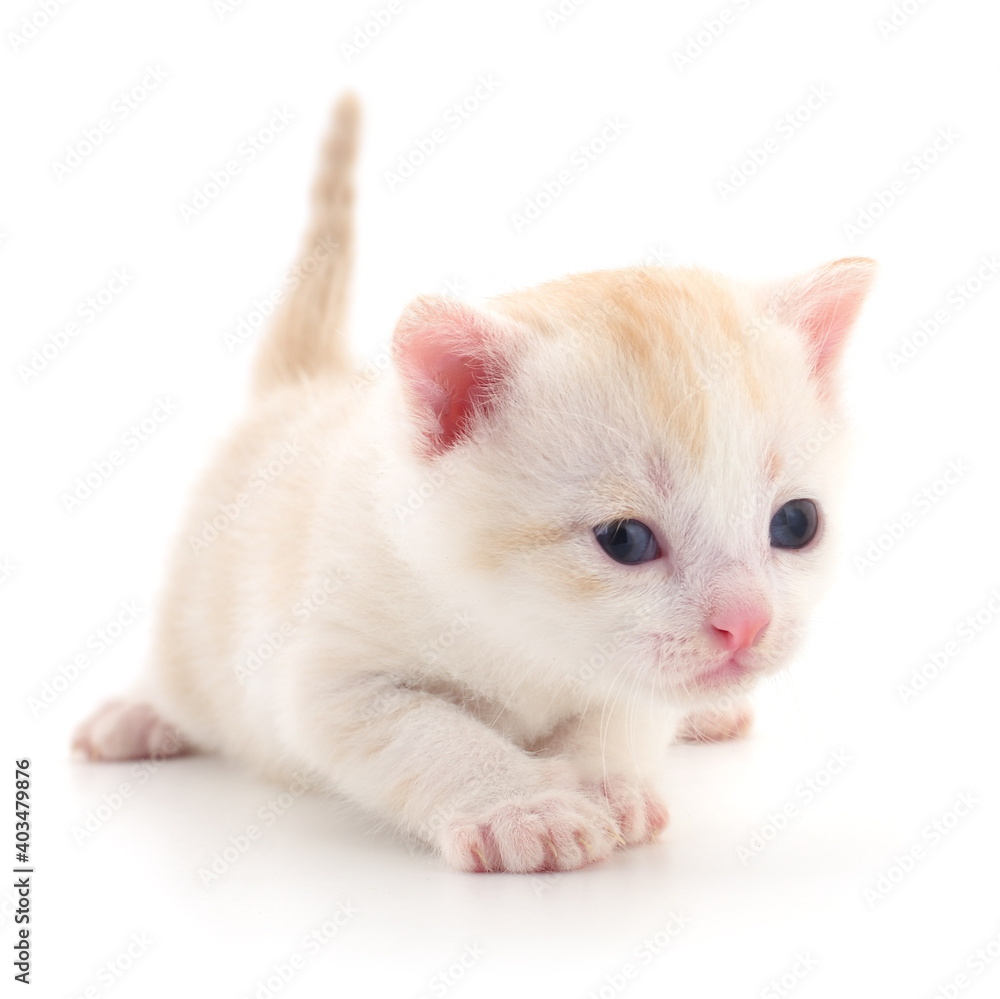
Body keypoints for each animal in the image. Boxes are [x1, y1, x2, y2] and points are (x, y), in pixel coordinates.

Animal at [74, 95, 876, 876]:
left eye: (796, 525)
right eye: (624, 539)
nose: (748, 622)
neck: (521, 632)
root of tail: (302, 387)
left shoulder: (633, 684)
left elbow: (625, 714)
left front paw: (607, 785)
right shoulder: (326, 676)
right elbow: (430, 735)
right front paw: (524, 807)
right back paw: (137, 716)